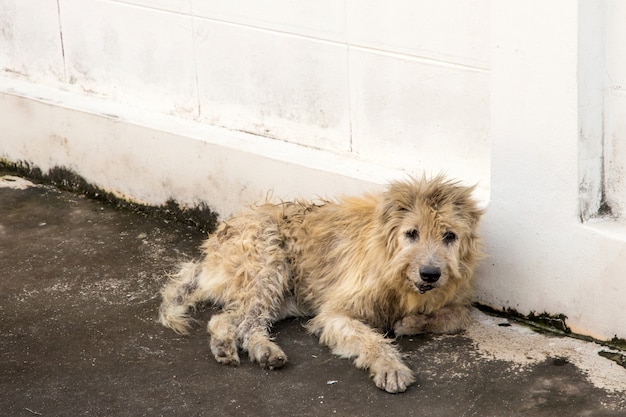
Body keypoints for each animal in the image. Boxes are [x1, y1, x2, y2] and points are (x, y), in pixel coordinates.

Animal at [158, 175, 480, 390]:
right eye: (411, 233)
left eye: (449, 236)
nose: (430, 274)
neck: (396, 272)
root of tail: (208, 255)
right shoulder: (335, 313)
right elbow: (371, 338)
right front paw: (390, 366)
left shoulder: (456, 299)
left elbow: (457, 315)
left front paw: (411, 322)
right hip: (268, 264)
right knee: (249, 324)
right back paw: (264, 350)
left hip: (283, 298)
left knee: (225, 318)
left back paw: (224, 344)